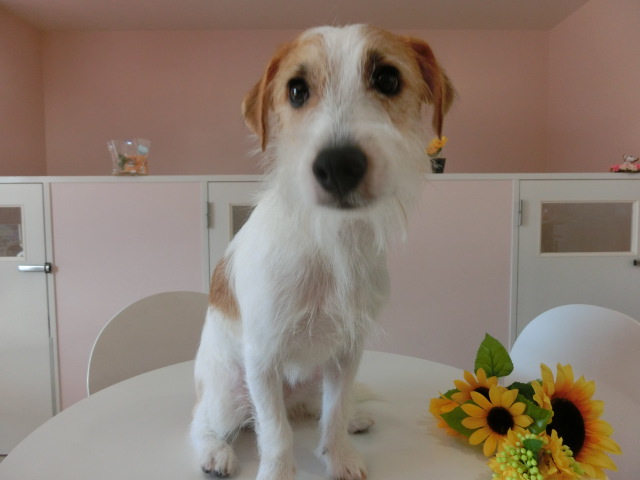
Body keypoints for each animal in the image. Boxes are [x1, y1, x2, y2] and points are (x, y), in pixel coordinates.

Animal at [191, 24, 454, 480]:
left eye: (388, 79)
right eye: (296, 90)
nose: (338, 165)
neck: (330, 242)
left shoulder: (347, 352)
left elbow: (334, 411)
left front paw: (340, 455)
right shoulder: (262, 358)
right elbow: (274, 431)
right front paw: (277, 471)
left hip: (314, 377)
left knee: (315, 406)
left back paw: (352, 418)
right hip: (227, 394)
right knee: (206, 420)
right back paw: (214, 452)